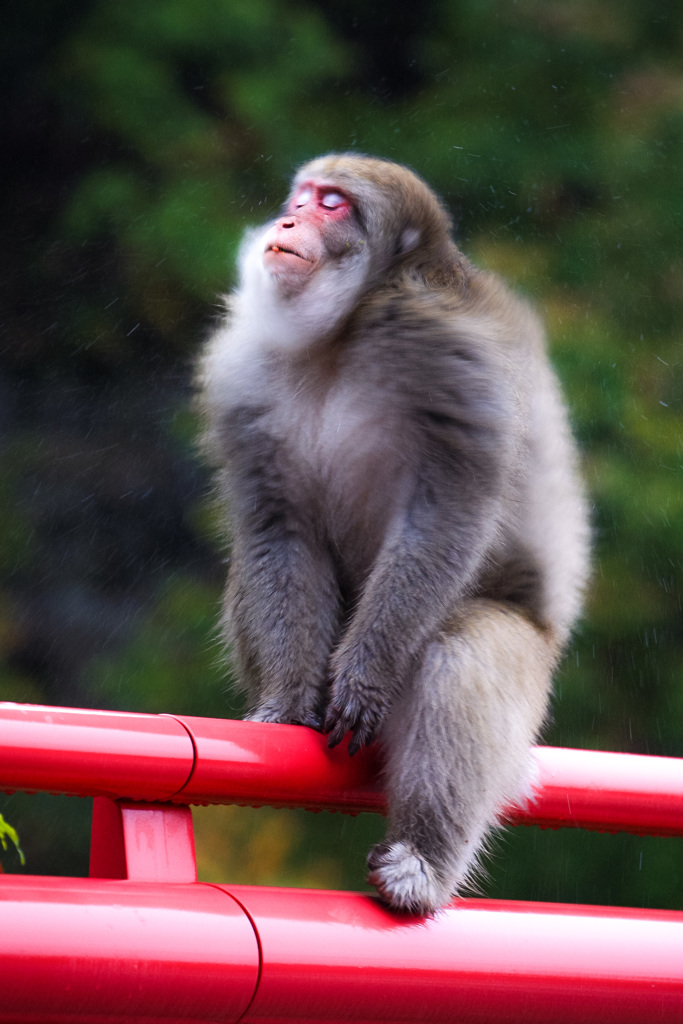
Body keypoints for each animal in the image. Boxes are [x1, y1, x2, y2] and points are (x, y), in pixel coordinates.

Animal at [194, 151, 589, 913]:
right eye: (299, 197)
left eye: (332, 204)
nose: (288, 221)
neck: (343, 333)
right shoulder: (244, 371)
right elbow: (278, 527)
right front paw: (287, 701)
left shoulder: (443, 350)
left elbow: (445, 510)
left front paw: (364, 676)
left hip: (528, 659)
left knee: (460, 654)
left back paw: (422, 862)